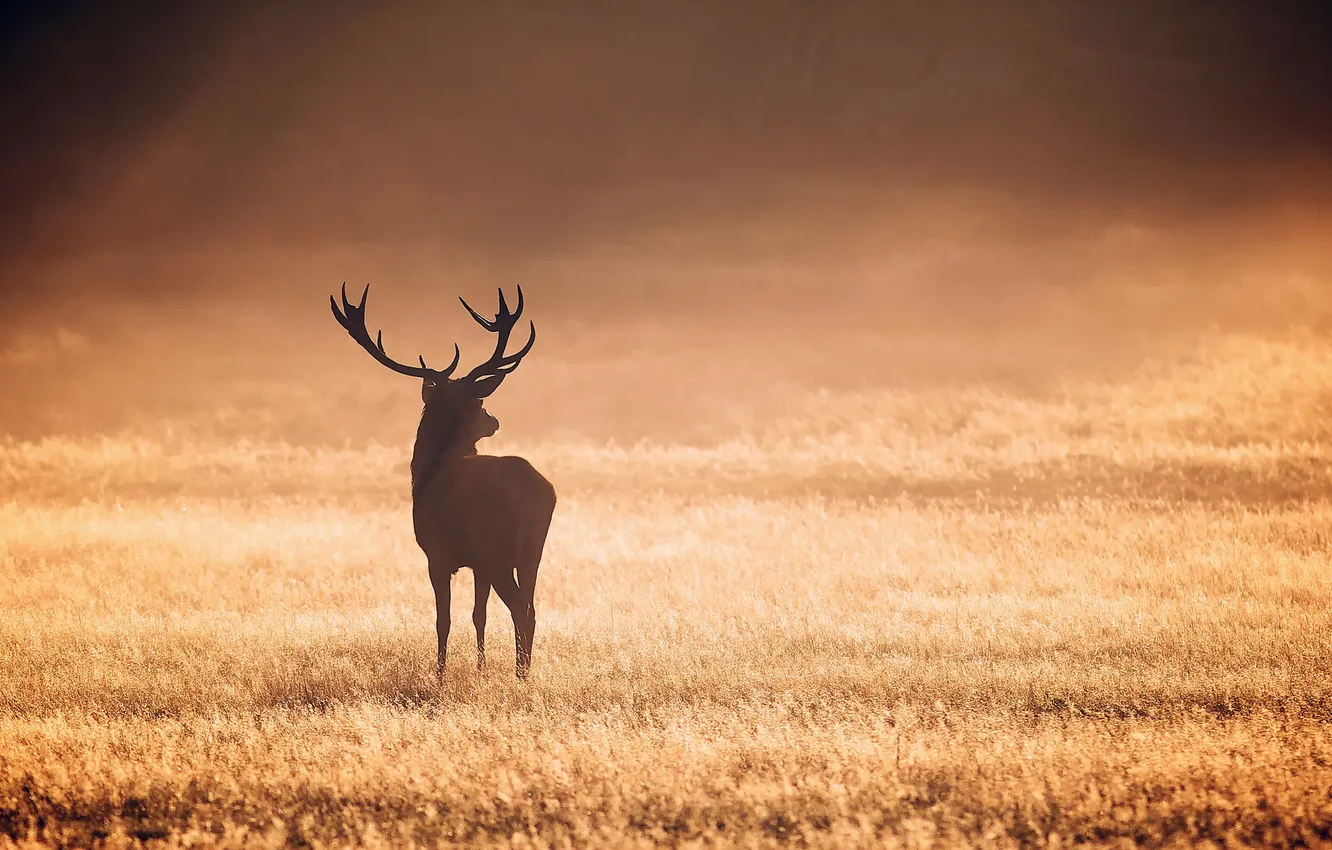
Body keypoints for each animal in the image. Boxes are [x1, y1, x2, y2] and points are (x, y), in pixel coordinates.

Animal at [331, 283, 556, 680]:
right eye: (479, 403)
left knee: (520, 608)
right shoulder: (477, 564)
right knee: (531, 607)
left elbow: (443, 619)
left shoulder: (436, 554)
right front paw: (480, 669)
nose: (494, 420)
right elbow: (479, 615)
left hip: (497, 548)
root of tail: (541, 492)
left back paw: (520, 675)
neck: (427, 473)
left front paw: (439, 675)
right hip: (533, 550)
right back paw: (524, 671)